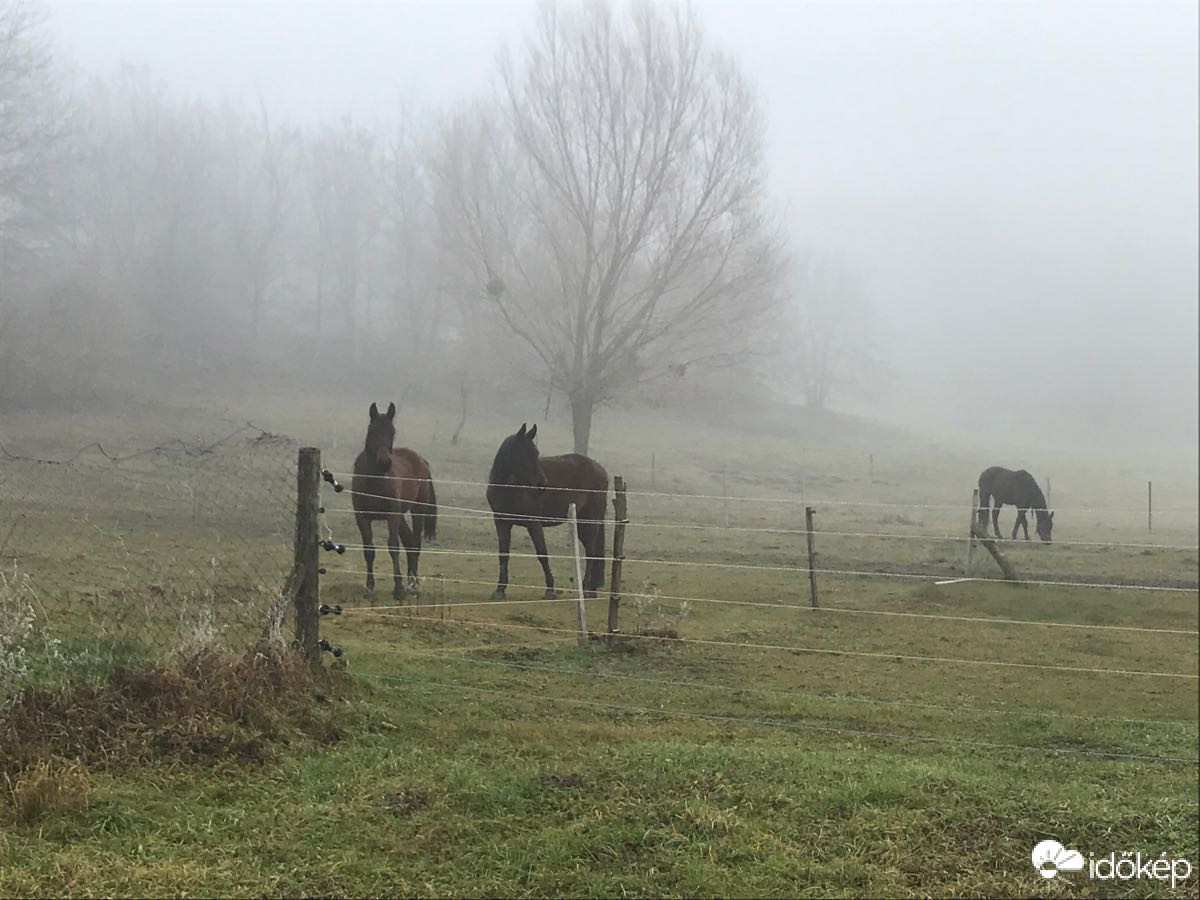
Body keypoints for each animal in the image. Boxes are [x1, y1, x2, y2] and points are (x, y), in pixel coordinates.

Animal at [350, 400, 439, 600]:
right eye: (372, 430)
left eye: (392, 432)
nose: (385, 462)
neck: (374, 480)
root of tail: (422, 460)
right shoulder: (362, 516)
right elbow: (369, 549)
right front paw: (369, 586)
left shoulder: (392, 515)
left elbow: (393, 547)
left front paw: (398, 588)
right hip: (401, 515)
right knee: (409, 541)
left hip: (416, 510)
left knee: (415, 544)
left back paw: (412, 584)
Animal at [484, 424, 609, 607]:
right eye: (525, 453)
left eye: (536, 453)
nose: (542, 484)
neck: (509, 488)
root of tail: (601, 470)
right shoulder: (501, 522)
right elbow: (503, 555)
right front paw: (500, 590)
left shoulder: (533, 523)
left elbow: (542, 553)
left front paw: (550, 589)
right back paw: (591, 589)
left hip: (588, 522)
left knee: (591, 552)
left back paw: (586, 589)